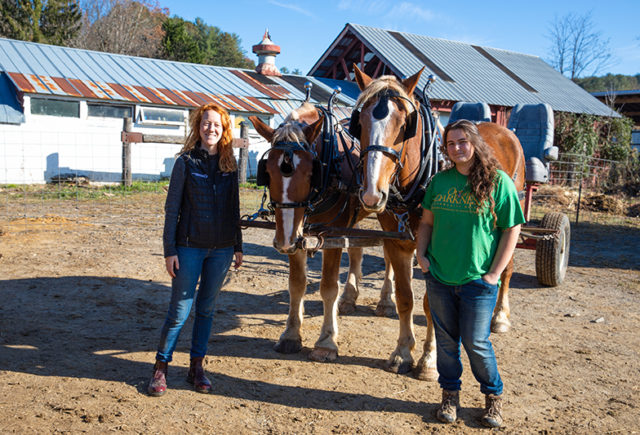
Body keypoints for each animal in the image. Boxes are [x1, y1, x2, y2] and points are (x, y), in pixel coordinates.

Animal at [249, 104, 396, 362]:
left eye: (311, 173)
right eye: (266, 170)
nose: (283, 241)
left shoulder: (329, 235)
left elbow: (328, 287)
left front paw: (326, 342)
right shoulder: (296, 234)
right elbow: (296, 284)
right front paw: (290, 335)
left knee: (389, 253)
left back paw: (386, 301)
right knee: (356, 251)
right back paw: (349, 297)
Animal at [350, 65, 524, 382]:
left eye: (405, 123)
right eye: (360, 121)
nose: (372, 192)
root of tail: (505, 131)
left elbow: (432, 305)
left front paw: (430, 361)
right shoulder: (397, 242)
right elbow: (406, 297)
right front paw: (402, 353)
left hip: (511, 215)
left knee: (506, 268)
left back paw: (500, 317)